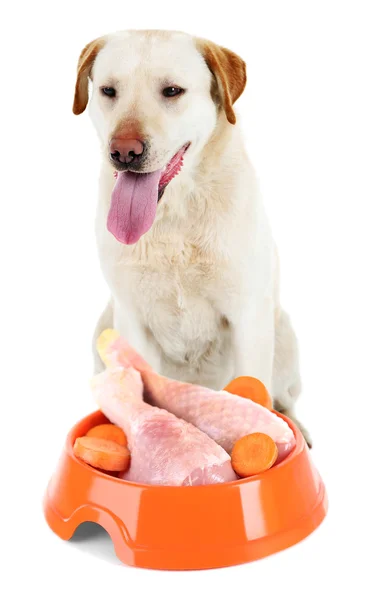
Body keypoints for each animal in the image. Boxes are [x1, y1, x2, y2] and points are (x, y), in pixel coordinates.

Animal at [73, 30, 312, 446]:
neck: (173, 217)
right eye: (108, 90)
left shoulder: (248, 317)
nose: (124, 151)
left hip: (282, 333)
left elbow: (255, 392)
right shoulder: (132, 318)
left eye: (172, 91)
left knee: (285, 397)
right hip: (104, 326)